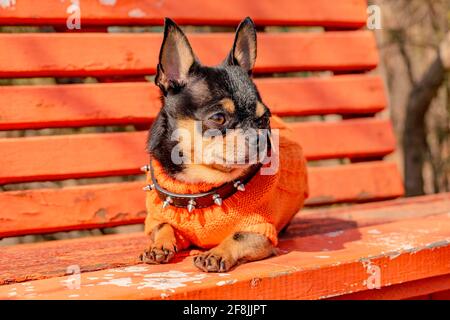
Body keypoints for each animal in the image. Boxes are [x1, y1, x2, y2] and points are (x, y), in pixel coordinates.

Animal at [141, 16, 310, 272]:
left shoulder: (260, 230)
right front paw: (158, 245)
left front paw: (216, 253)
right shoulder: (158, 217)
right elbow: (163, 226)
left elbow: (237, 236)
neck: (200, 185)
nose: (259, 139)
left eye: (264, 119)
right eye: (219, 118)